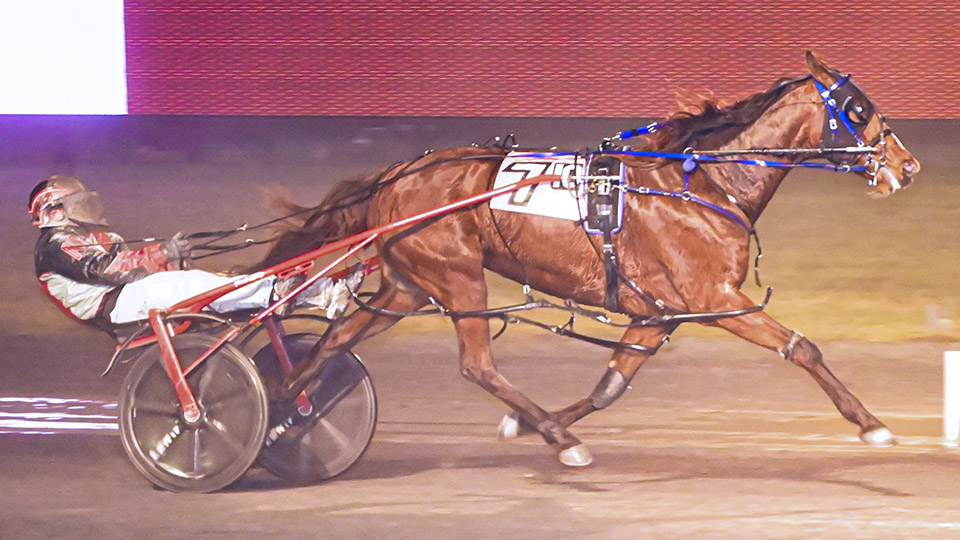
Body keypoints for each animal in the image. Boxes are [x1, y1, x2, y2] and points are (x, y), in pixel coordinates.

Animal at [258, 51, 920, 467]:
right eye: (858, 109)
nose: (907, 165)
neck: (704, 182)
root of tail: (394, 176)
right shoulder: (716, 299)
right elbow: (803, 348)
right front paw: (873, 424)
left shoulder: (657, 314)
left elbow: (609, 388)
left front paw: (531, 423)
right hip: (458, 278)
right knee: (476, 366)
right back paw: (557, 437)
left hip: (406, 285)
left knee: (332, 343)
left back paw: (287, 410)